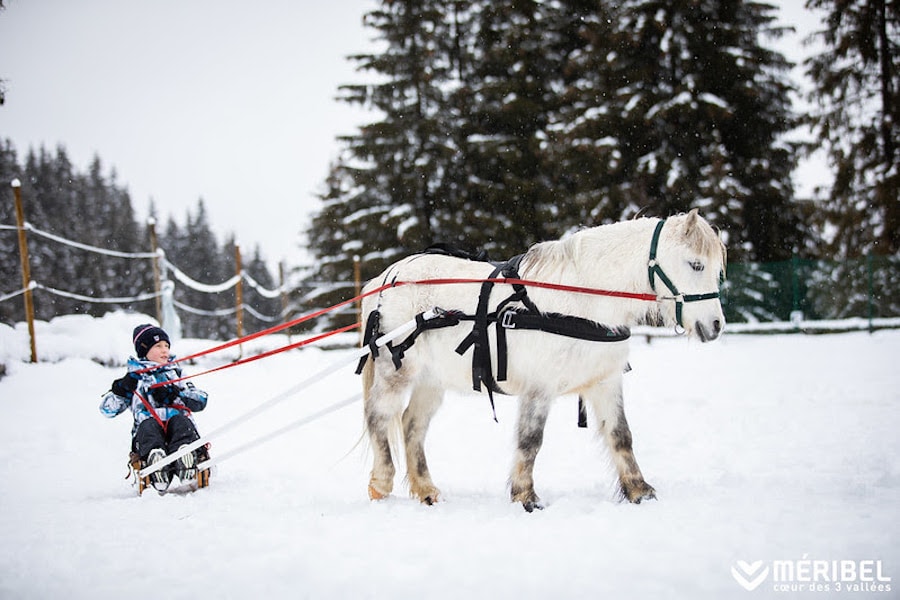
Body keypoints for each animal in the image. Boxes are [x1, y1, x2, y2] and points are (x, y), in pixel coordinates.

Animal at [356, 211, 724, 510]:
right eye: (695, 264)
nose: (716, 325)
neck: (583, 301)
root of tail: (386, 277)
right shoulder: (539, 387)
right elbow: (530, 440)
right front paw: (525, 497)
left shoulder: (605, 381)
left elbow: (621, 435)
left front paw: (639, 491)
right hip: (397, 371)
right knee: (378, 416)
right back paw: (380, 484)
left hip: (432, 380)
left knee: (412, 425)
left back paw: (426, 490)